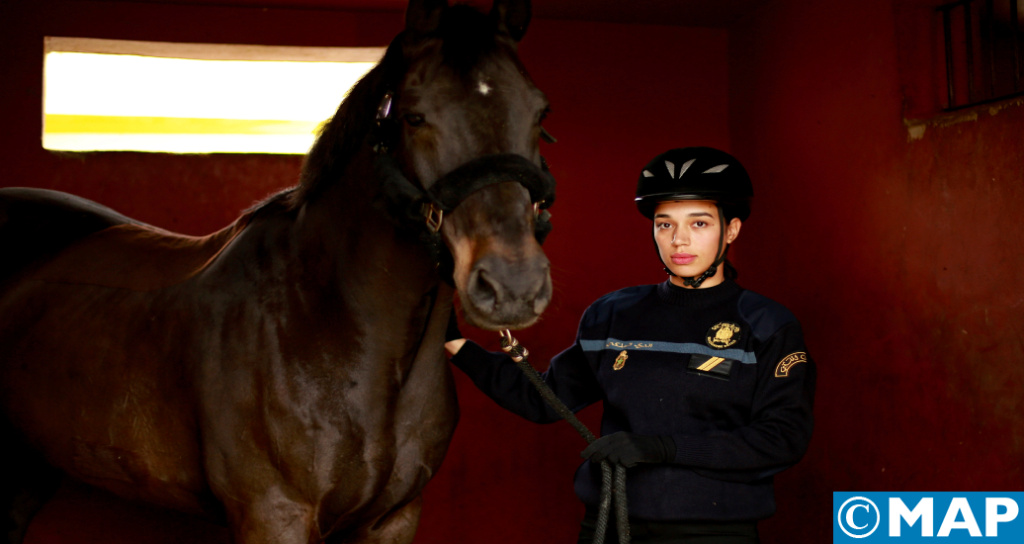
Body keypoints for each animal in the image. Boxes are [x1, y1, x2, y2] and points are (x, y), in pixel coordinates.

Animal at [0, 2, 557, 540]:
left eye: (539, 112)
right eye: (415, 117)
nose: (512, 284)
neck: (328, 321)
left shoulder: (392, 520)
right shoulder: (274, 514)